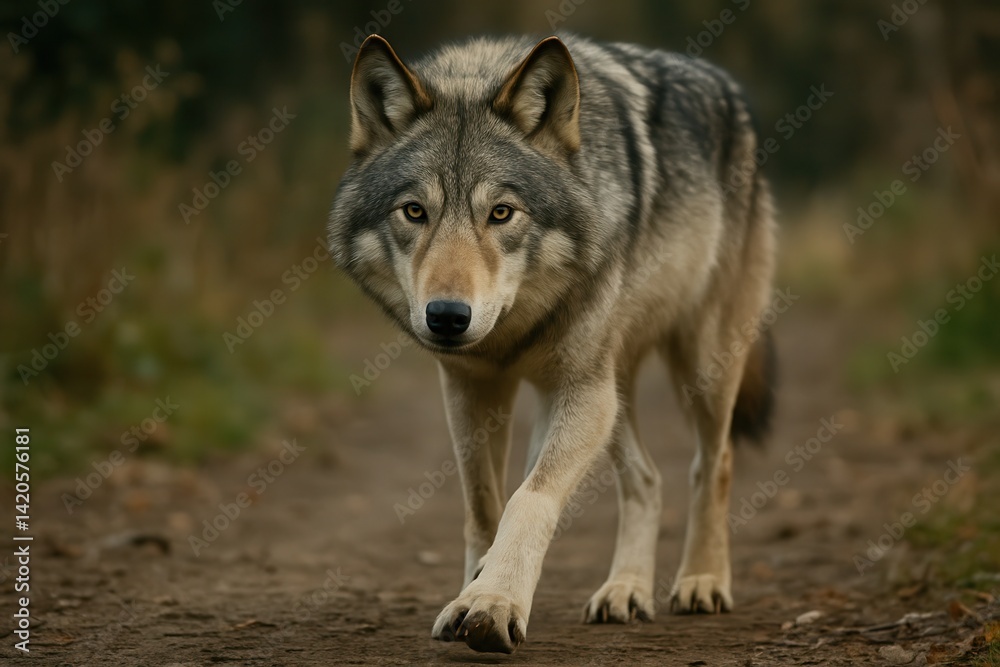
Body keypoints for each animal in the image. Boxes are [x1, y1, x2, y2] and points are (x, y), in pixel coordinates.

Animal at [328, 32, 777, 654]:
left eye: (501, 213)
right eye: (414, 211)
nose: (447, 317)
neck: (514, 332)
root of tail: (730, 89)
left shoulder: (580, 391)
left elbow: (530, 497)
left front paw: (494, 602)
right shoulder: (472, 388)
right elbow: (484, 503)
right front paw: (472, 594)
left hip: (697, 367)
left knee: (715, 462)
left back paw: (702, 580)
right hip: (610, 391)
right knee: (647, 477)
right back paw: (625, 590)